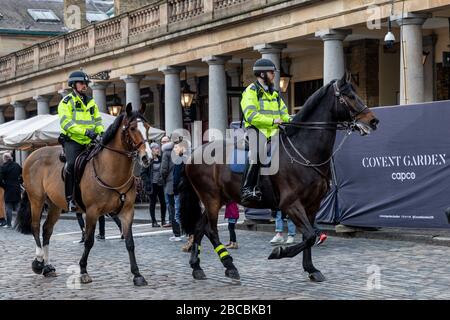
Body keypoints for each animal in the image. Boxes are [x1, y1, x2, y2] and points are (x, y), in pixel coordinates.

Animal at [14, 104, 152, 286]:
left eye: (148, 127)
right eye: (132, 128)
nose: (147, 157)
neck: (110, 170)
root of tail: (32, 155)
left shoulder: (127, 211)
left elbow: (130, 242)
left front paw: (137, 274)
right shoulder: (92, 212)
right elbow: (88, 241)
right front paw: (83, 271)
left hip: (54, 205)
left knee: (47, 230)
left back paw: (48, 267)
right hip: (36, 200)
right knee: (35, 227)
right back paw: (38, 262)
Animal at [179, 73, 380, 282]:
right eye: (349, 96)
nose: (373, 121)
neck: (303, 150)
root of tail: (193, 154)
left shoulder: (312, 205)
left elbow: (309, 236)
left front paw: (311, 269)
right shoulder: (290, 204)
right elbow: (309, 236)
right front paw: (280, 252)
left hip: (219, 198)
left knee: (199, 227)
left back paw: (197, 267)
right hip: (211, 198)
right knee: (211, 230)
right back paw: (230, 266)